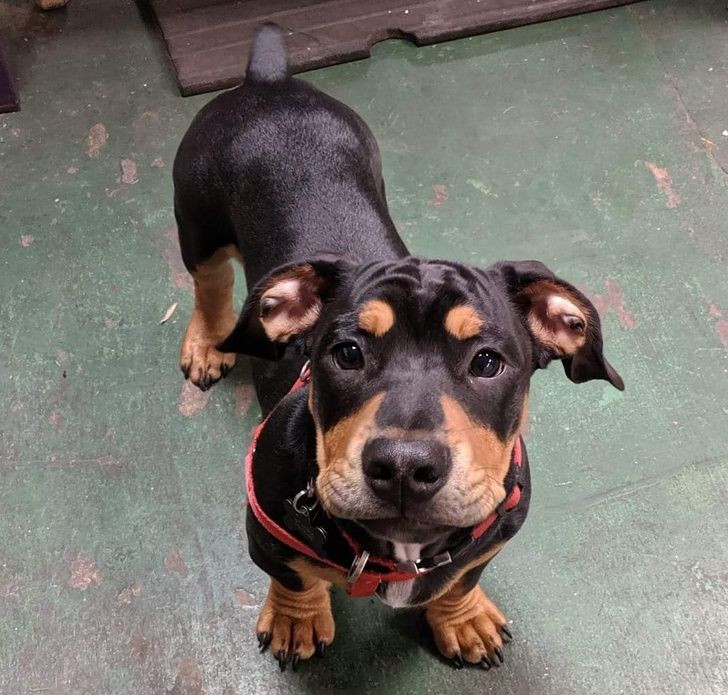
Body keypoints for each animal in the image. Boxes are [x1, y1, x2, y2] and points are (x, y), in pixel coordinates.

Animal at [173, 24, 624, 672]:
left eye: (487, 362)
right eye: (347, 354)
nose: (405, 467)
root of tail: (268, 81)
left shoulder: (494, 532)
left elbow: (461, 578)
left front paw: (464, 619)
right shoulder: (265, 530)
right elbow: (292, 576)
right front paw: (295, 620)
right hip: (199, 221)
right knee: (208, 283)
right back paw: (208, 343)